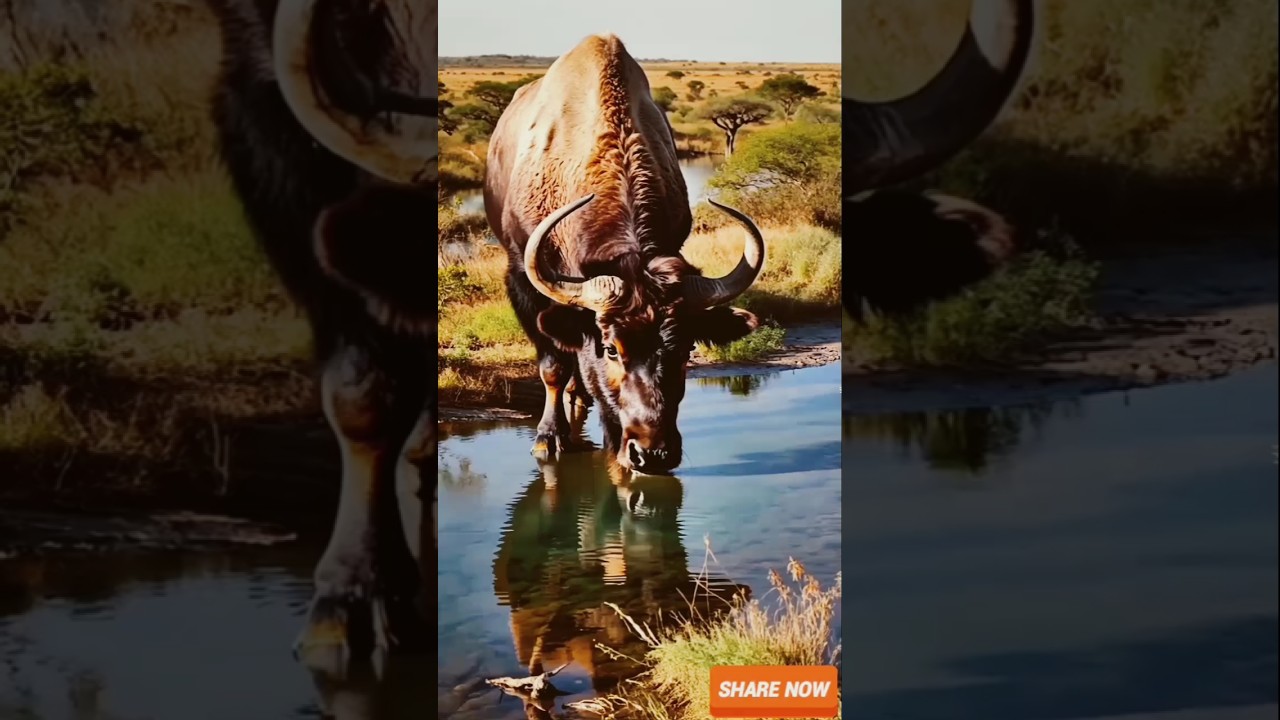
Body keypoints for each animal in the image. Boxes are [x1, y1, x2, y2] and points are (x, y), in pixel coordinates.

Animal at [484, 34, 767, 475]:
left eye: (686, 348)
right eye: (612, 349)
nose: (652, 453)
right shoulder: (521, 279)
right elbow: (552, 365)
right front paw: (549, 436)